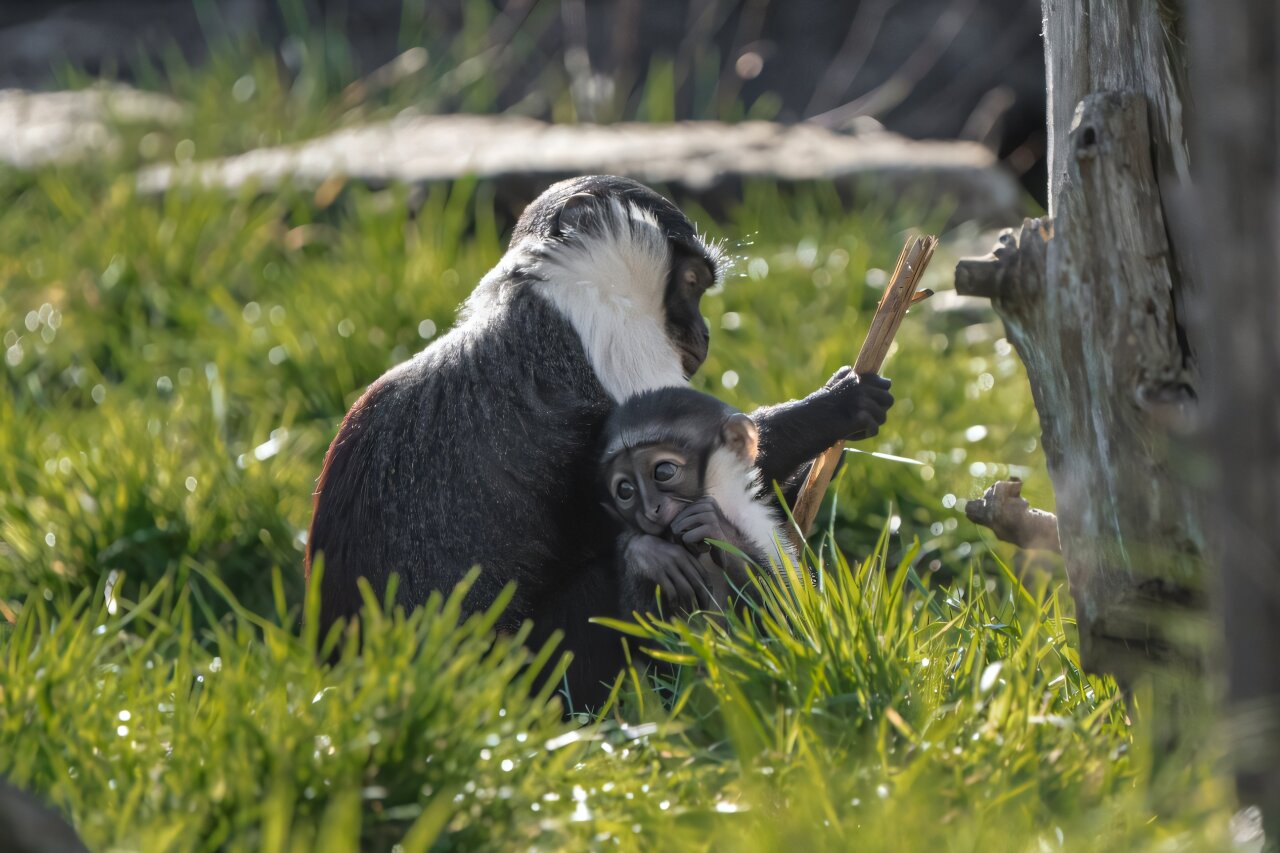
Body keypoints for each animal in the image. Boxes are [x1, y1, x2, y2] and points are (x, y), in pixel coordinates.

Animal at [598, 386, 795, 617]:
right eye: (625, 490)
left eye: (664, 472)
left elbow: (789, 615)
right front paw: (648, 555)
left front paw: (721, 533)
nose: (650, 509)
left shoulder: (759, 525)